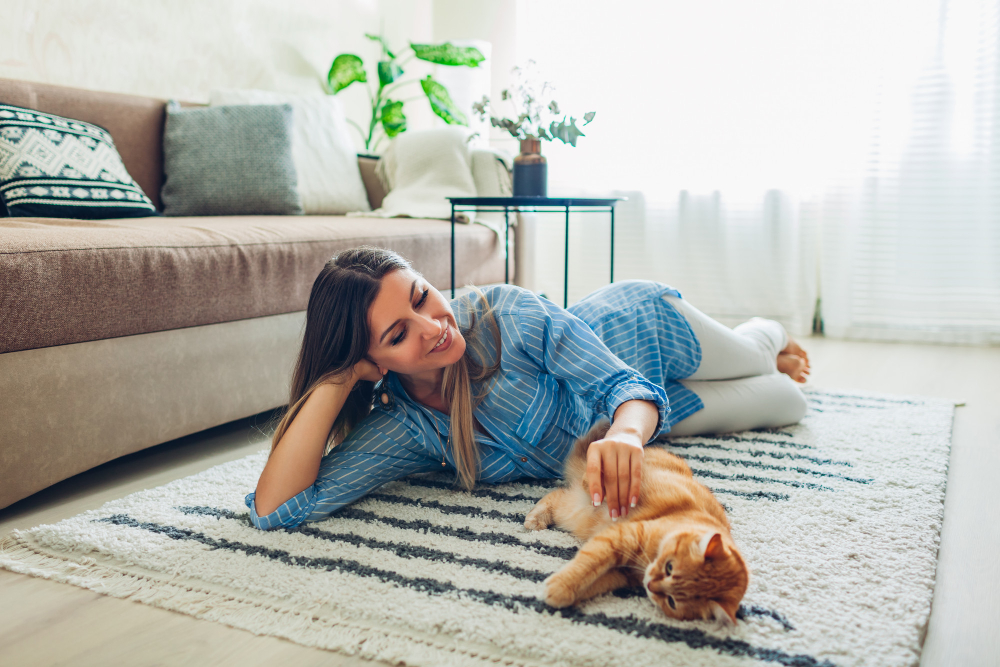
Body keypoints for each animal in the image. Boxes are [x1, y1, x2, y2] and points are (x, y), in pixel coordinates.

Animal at [528, 426, 748, 624]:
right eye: (669, 567)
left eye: (672, 602)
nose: (650, 585)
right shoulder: (621, 537)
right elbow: (586, 566)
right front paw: (559, 587)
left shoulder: (620, 574)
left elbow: (592, 582)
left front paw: (565, 594)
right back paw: (535, 519)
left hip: (576, 512)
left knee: (557, 495)